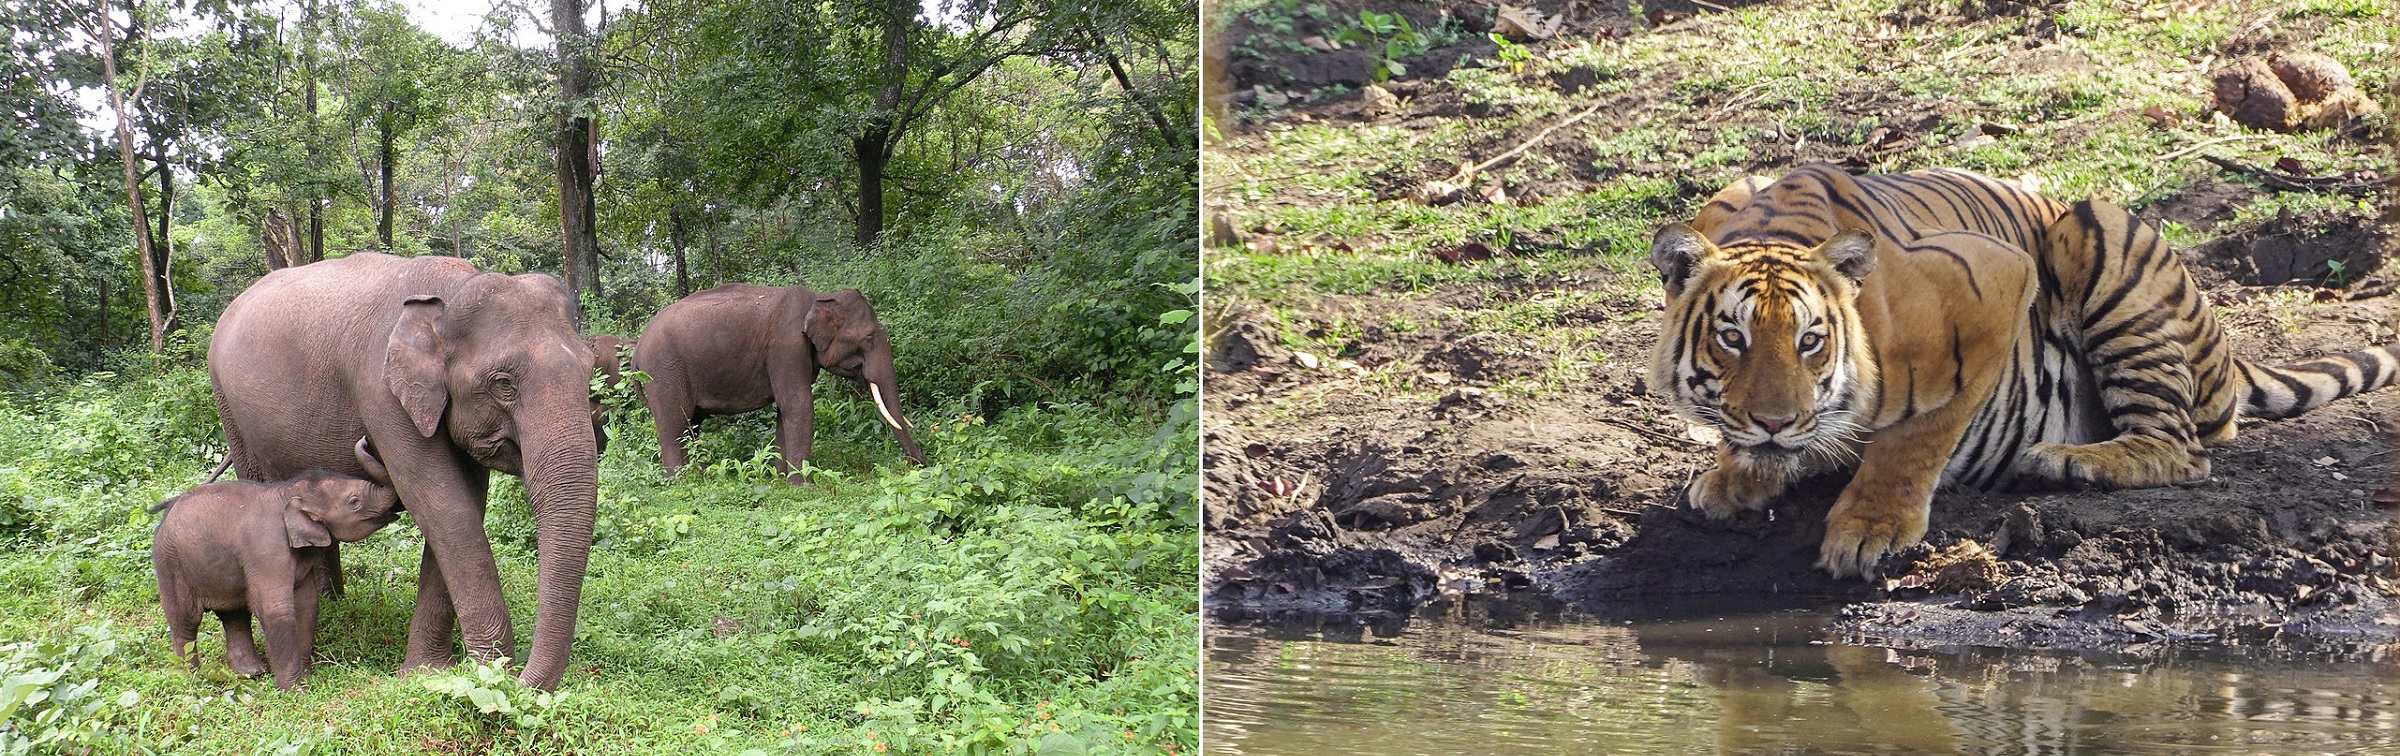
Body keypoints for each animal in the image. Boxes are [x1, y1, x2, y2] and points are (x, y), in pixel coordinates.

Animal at [154, 439, 400, 691]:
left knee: (234, 614)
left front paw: (306, 680)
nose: (364, 440)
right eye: (354, 502)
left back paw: (250, 673)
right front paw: (295, 691)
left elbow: (307, 604)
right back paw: (191, 678)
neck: (287, 492)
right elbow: (276, 609)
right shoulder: (266, 549)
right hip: (170, 563)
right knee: (185, 619)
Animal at [213, 254, 597, 691]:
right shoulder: (382, 394)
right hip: (229, 407)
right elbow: (443, 505)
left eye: (590, 371)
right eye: (503, 383)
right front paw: (488, 673)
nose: (518, 680)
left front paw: (431, 672)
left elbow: (464, 503)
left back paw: (332, 601)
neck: (453, 289)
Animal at [633, 284, 921, 480]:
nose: (921, 465)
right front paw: (805, 485)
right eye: (870, 338)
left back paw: (700, 476)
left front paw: (782, 477)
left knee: (691, 423)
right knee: (674, 421)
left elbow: (786, 410)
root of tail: (637, 349)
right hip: (663, 371)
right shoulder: (787, 347)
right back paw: (681, 482)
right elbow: (799, 404)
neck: (818, 297)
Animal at [1651, 163, 2400, 580]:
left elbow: (1915, 438)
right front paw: (1735, 475)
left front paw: (1871, 528)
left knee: (2184, 450)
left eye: (1811, 341)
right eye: (1732, 339)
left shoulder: (1997, 285)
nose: (1775, 424)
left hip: (2098, 237)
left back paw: (2067, 460)